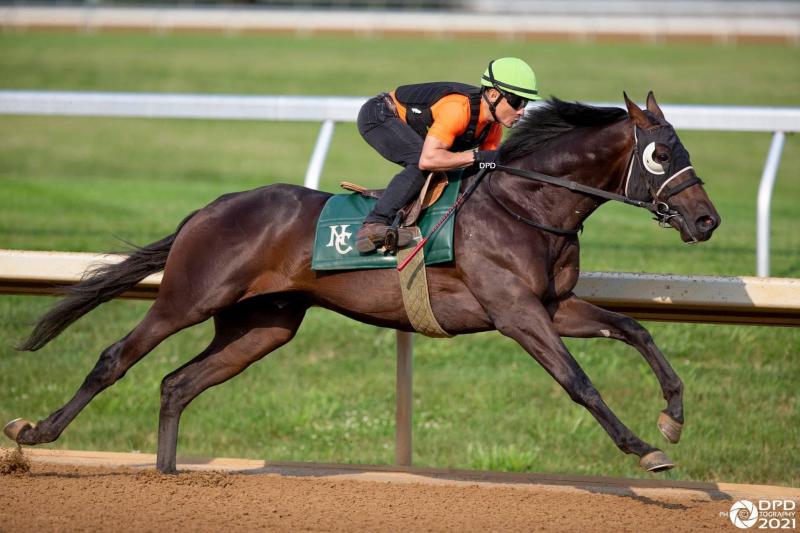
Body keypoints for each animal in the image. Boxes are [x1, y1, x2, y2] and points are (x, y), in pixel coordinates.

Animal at [4, 92, 720, 474]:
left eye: (685, 149)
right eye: (661, 154)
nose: (707, 219)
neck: (527, 204)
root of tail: (213, 206)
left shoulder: (555, 303)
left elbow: (635, 328)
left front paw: (674, 416)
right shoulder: (516, 311)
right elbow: (578, 381)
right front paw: (642, 449)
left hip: (263, 324)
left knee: (177, 383)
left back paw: (167, 471)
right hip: (189, 297)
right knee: (114, 358)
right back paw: (34, 434)